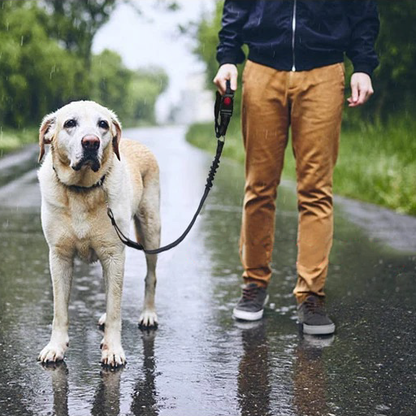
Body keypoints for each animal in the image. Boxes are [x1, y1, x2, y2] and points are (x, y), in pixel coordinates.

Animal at [37, 101, 161, 368]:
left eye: (102, 124)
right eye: (70, 123)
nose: (91, 142)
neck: (82, 190)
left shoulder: (114, 255)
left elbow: (115, 310)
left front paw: (112, 349)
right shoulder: (59, 257)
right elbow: (59, 310)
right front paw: (55, 347)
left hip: (151, 231)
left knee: (150, 277)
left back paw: (148, 314)